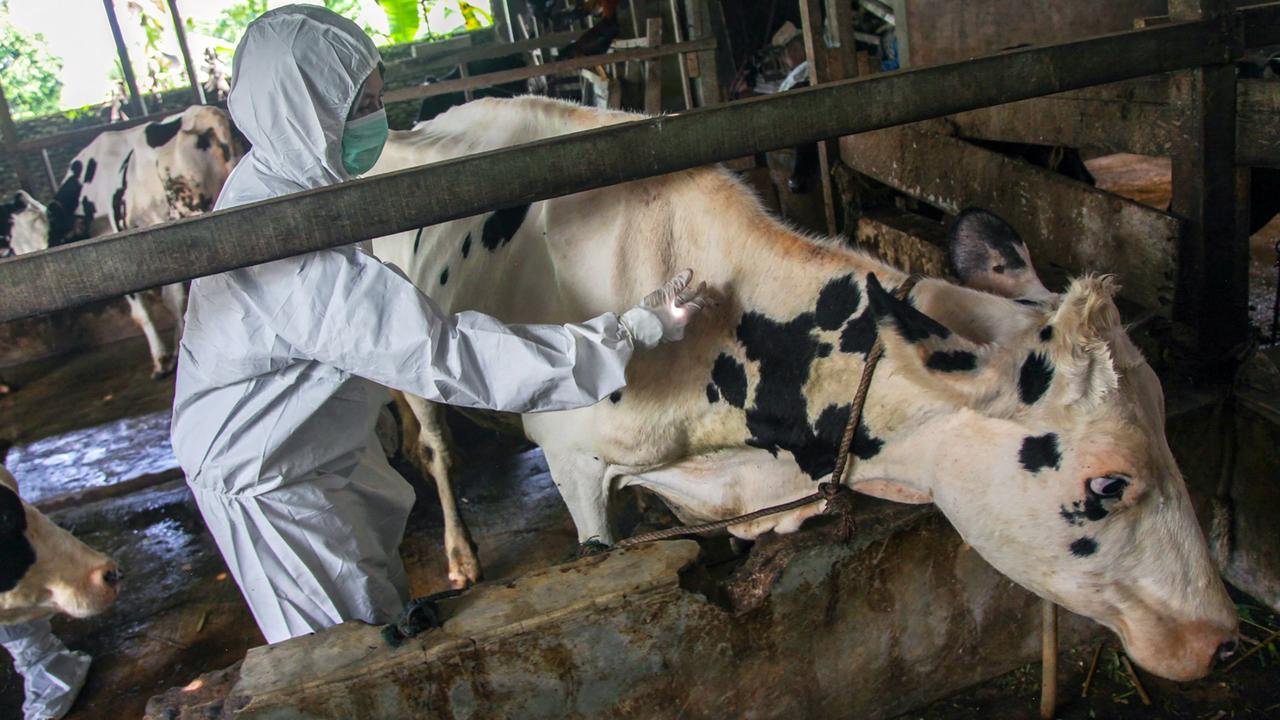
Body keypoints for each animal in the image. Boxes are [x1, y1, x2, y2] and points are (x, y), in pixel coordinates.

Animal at [0, 105, 241, 381]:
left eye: (8, 245)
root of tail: (205, 114)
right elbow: (172, 298)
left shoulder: (123, 250)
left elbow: (143, 311)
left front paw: (162, 360)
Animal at [368, 95, 1239, 676]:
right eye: (1108, 483)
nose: (1223, 636)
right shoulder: (573, 461)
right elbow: (599, 545)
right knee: (435, 443)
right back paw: (459, 555)